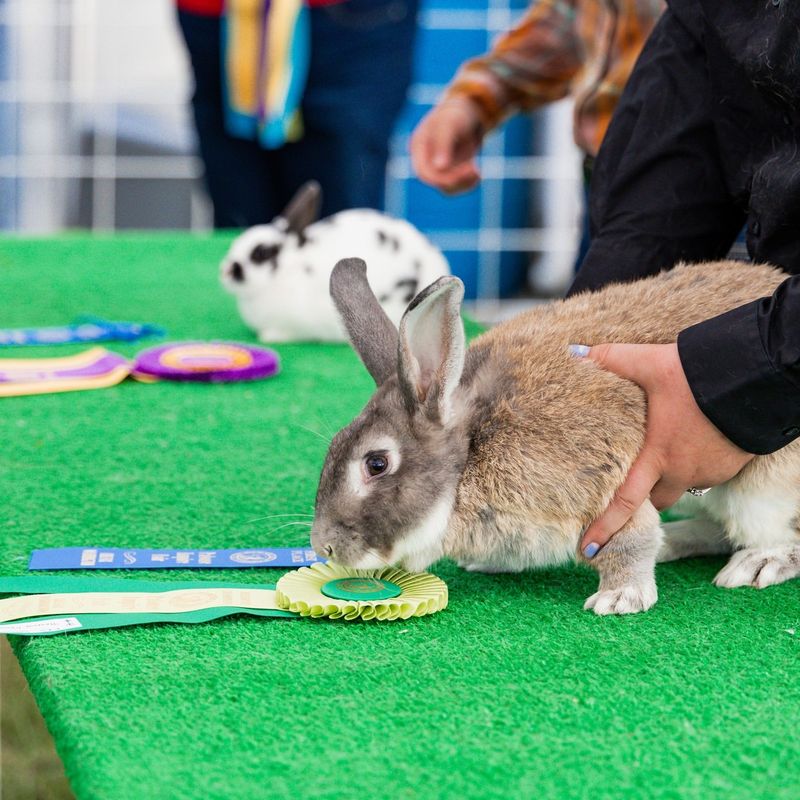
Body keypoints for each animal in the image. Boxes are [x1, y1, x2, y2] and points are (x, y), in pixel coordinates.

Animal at [310, 256, 800, 612]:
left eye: (376, 463)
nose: (323, 547)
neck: (472, 451)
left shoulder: (607, 492)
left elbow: (631, 543)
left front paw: (620, 597)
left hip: (760, 489)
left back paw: (758, 563)